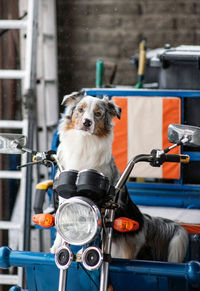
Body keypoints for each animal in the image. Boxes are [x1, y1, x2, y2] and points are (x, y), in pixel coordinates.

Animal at [50, 90, 188, 264]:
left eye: (98, 114)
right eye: (80, 110)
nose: (87, 122)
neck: (85, 142)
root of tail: (144, 220)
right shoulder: (66, 196)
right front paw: (58, 246)